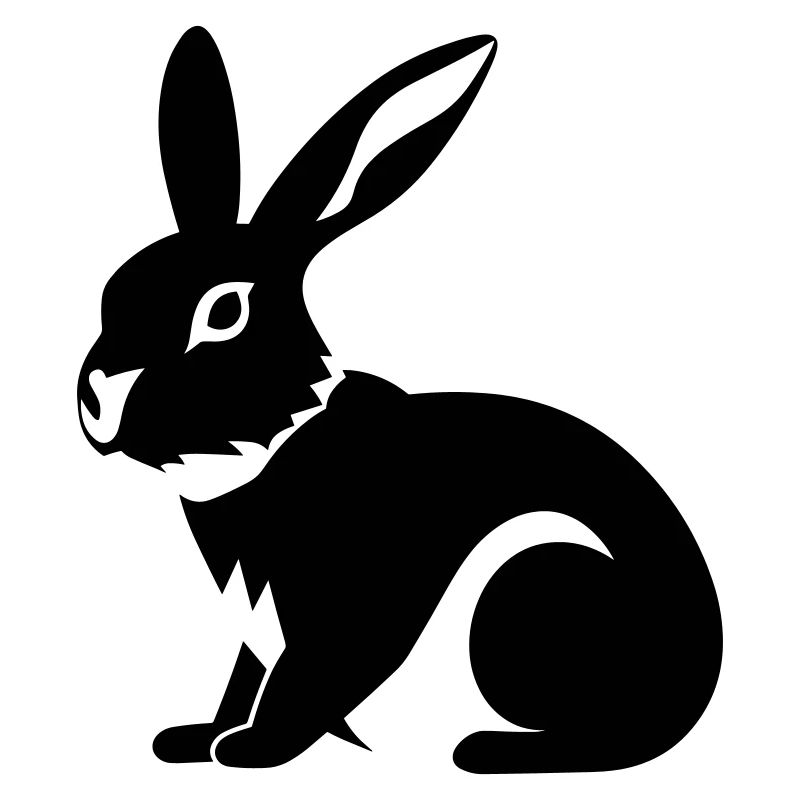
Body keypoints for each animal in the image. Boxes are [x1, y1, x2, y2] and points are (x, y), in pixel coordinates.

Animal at [77, 27, 722, 773]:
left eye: (225, 312)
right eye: (113, 289)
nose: (100, 398)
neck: (277, 439)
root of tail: (697, 678)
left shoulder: (347, 594)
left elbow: (312, 673)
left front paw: (252, 751)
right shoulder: (253, 615)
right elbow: (245, 676)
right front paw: (193, 740)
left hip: (535, 586)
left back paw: (487, 752)